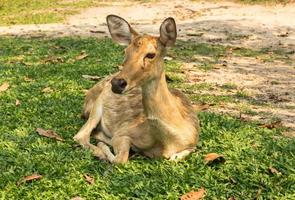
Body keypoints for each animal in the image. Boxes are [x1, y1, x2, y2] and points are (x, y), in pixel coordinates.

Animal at [73, 14, 201, 163]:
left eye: (151, 54)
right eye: (125, 51)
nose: (117, 83)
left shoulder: (193, 143)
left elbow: (176, 157)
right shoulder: (124, 131)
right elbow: (120, 159)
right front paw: (105, 148)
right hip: (97, 105)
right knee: (81, 135)